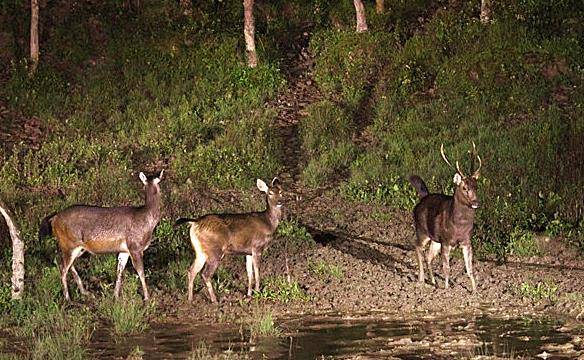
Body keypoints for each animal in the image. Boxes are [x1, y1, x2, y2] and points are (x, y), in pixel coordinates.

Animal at [39, 170, 163, 300]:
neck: (147, 220)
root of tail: (54, 218)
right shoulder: (135, 247)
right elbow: (141, 273)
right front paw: (147, 297)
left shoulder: (124, 250)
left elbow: (119, 271)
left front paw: (115, 296)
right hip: (68, 243)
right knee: (63, 268)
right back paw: (68, 298)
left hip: (76, 247)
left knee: (65, 264)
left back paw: (85, 292)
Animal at [408, 142, 482, 292]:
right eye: (464, 188)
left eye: (476, 187)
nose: (476, 203)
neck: (459, 226)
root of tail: (423, 197)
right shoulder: (446, 241)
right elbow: (446, 267)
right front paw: (447, 289)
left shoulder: (466, 241)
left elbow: (469, 268)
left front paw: (475, 290)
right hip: (422, 230)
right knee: (417, 246)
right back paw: (421, 280)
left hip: (435, 239)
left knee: (429, 257)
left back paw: (433, 281)